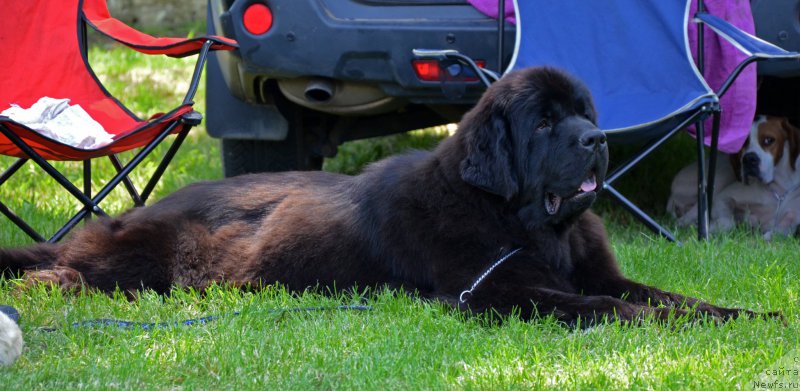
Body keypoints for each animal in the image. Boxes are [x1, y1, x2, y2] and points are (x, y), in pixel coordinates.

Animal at [0, 67, 776, 324]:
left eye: (583, 110)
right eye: (544, 123)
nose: (596, 139)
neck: (521, 223)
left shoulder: (592, 270)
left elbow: (671, 296)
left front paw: (750, 315)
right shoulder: (496, 292)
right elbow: (607, 307)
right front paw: (667, 324)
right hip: (142, 265)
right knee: (72, 270)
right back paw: (48, 286)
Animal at [664, 115, 800, 239]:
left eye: (768, 140)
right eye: (743, 143)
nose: (748, 159)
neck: (778, 192)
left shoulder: (791, 221)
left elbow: (778, 232)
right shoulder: (722, 197)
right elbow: (728, 222)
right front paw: (711, 228)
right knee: (684, 219)